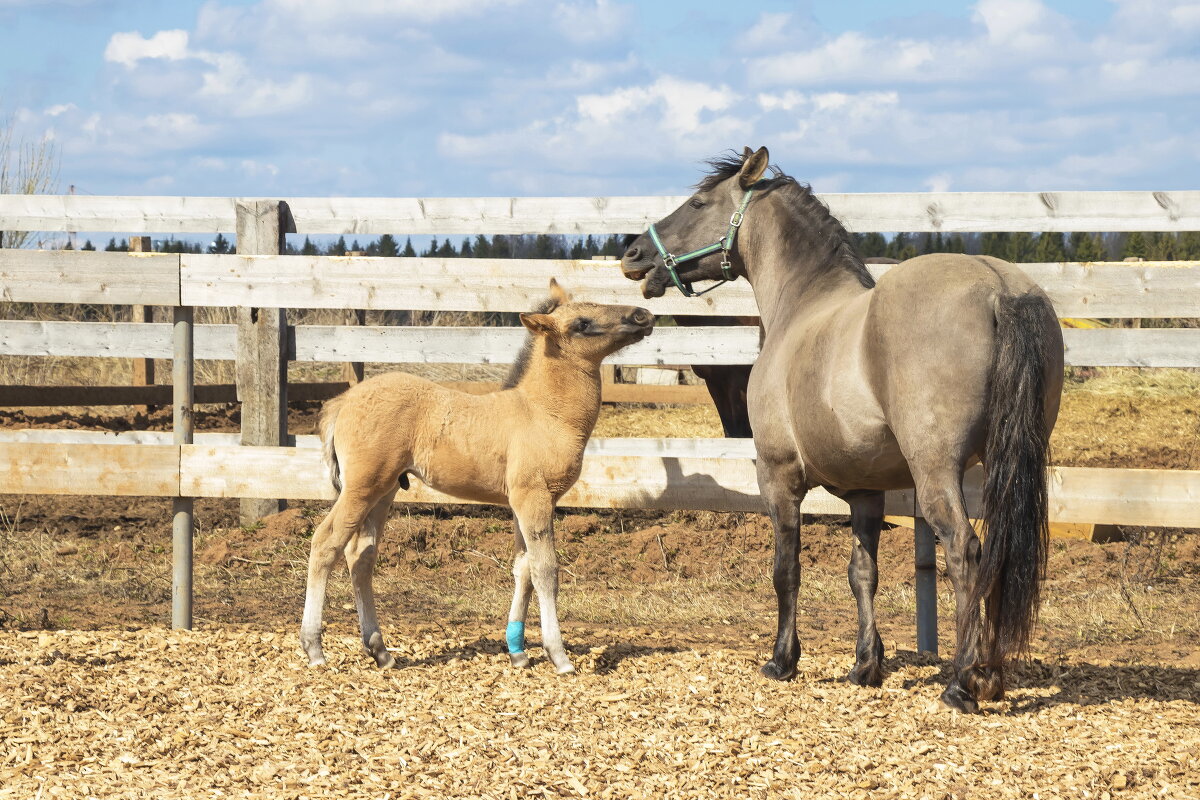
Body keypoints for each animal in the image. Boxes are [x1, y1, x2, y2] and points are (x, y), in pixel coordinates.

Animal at [624, 146, 1065, 710]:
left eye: (699, 202)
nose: (634, 254)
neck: (802, 306)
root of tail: (1000, 289)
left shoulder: (778, 477)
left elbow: (786, 569)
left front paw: (783, 660)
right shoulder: (864, 490)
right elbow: (862, 574)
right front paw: (865, 665)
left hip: (937, 469)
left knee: (966, 551)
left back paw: (962, 682)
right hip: (1005, 462)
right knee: (999, 555)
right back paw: (990, 676)